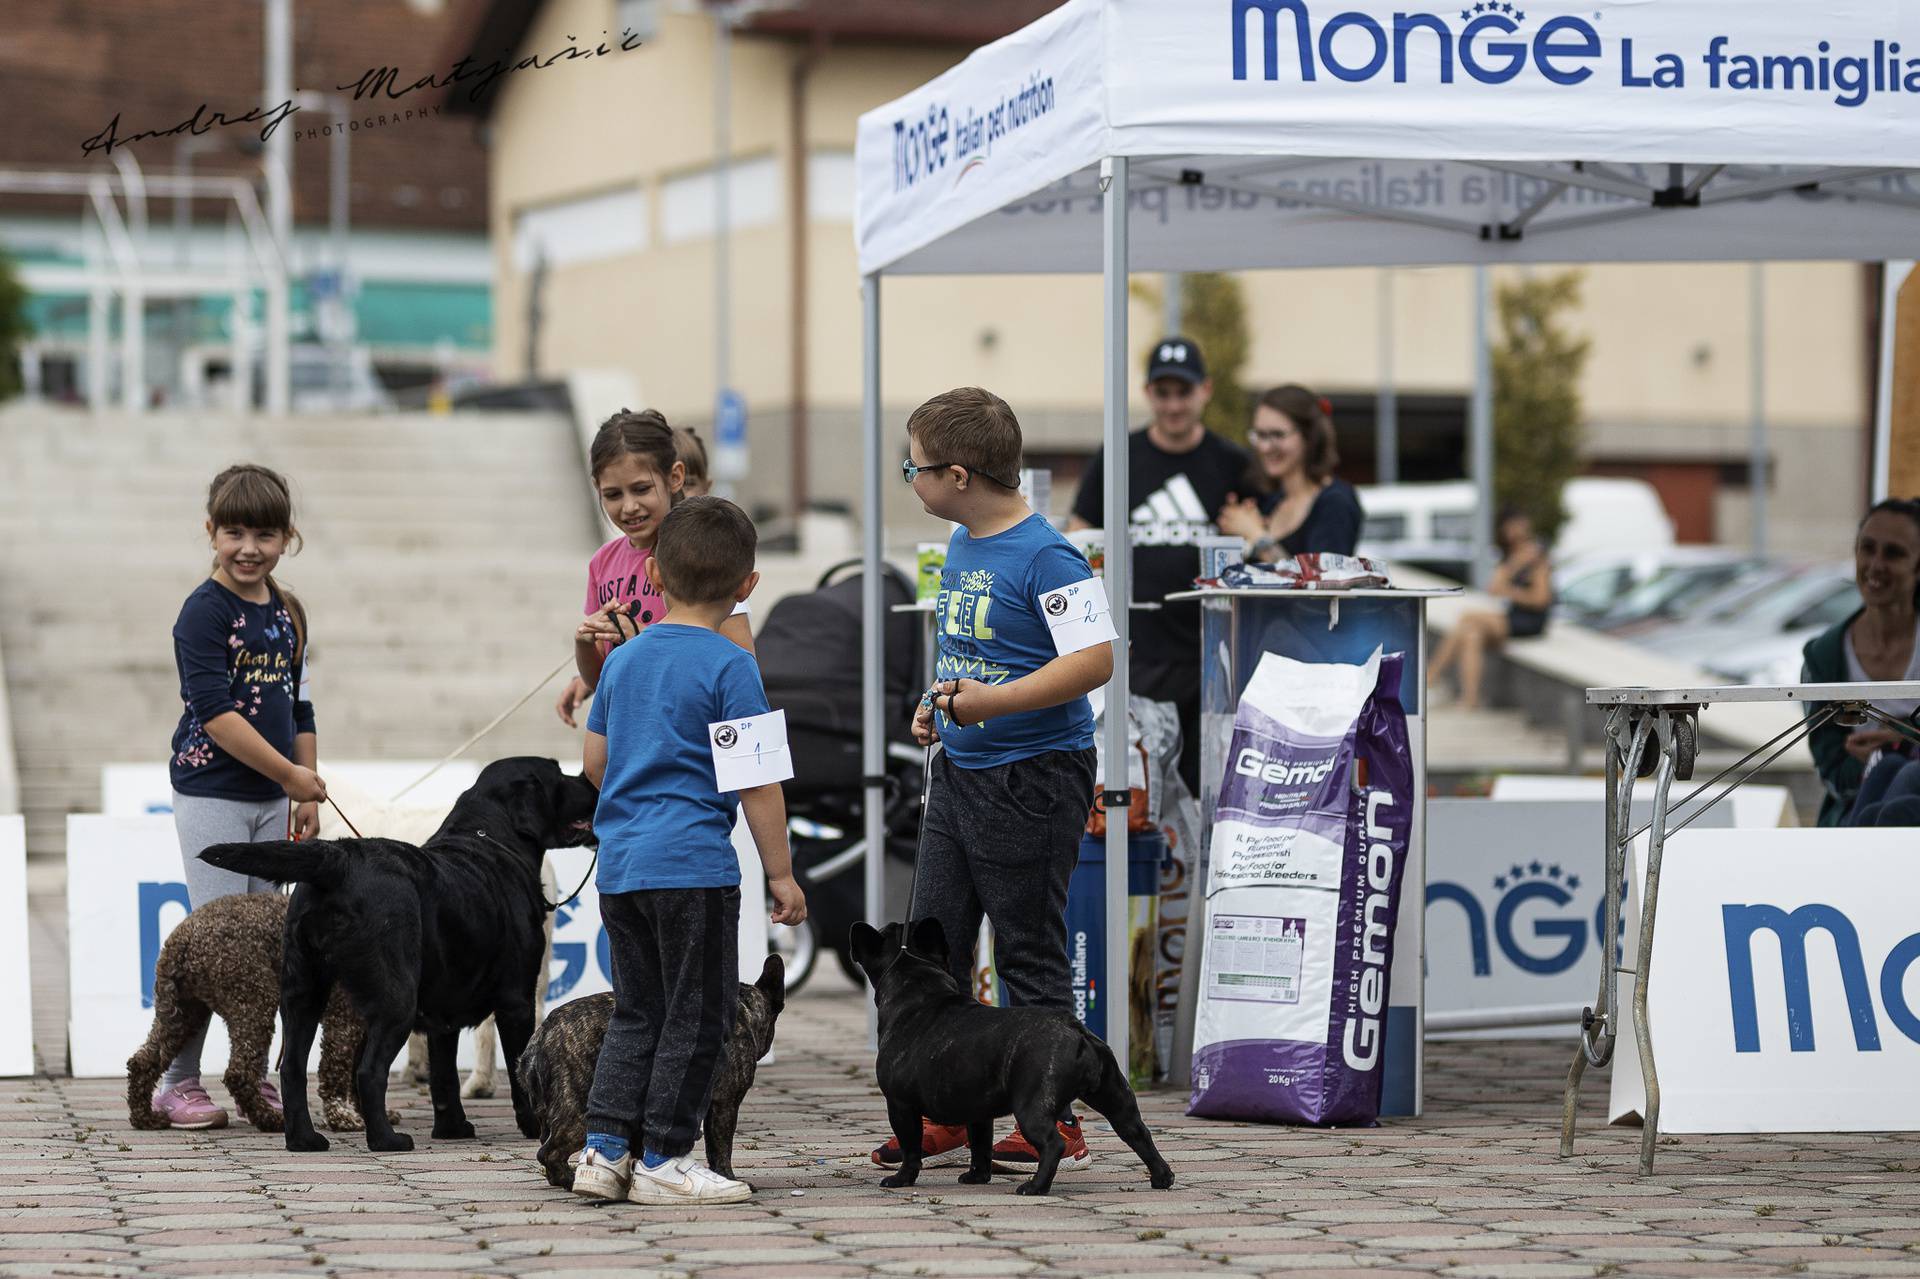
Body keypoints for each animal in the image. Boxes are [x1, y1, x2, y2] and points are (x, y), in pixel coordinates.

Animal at [126, 891, 389, 1129]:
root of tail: (183, 938)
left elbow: (359, 1073)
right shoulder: (344, 1017)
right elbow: (336, 1068)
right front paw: (342, 1117)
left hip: (181, 1013)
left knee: (143, 1061)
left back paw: (146, 1118)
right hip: (255, 1001)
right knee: (238, 1073)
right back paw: (271, 1118)